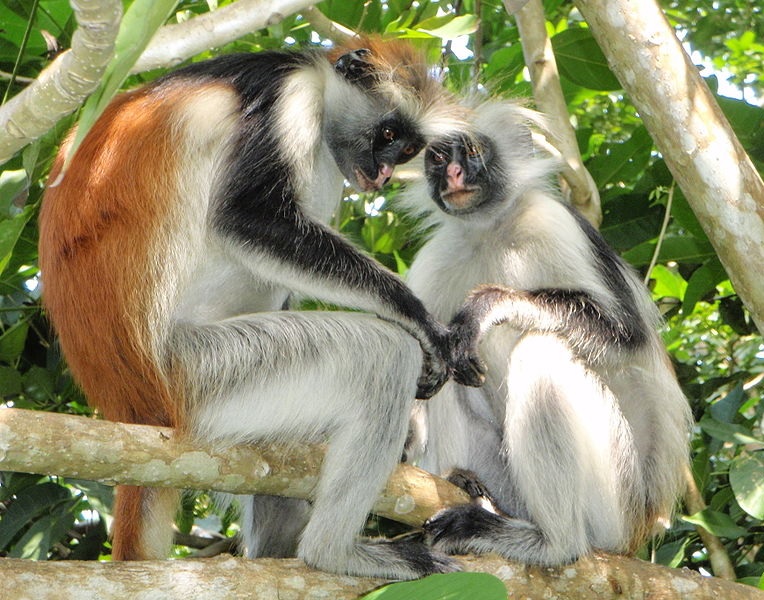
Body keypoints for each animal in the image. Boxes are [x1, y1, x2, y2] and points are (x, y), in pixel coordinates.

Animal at [38, 39, 466, 580]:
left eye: (407, 150)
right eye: (387, 135)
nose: (385, 173)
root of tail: (130, 405)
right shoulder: (289, 94)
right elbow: (247, 215)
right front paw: (418, 319)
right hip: (204, 370)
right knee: (382, 356)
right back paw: (332, 553)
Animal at [402, 101, 696, 564]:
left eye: (472, 151)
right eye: (437, 158)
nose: (453, 175)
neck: (491, 229)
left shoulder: (553, 221)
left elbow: (626, 337)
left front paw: (489, 305)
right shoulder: (436, 258)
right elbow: (429, 363)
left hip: (614, 498)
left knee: (540, 350)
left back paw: (553, 542)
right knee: (451, 369)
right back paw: (467, 484)